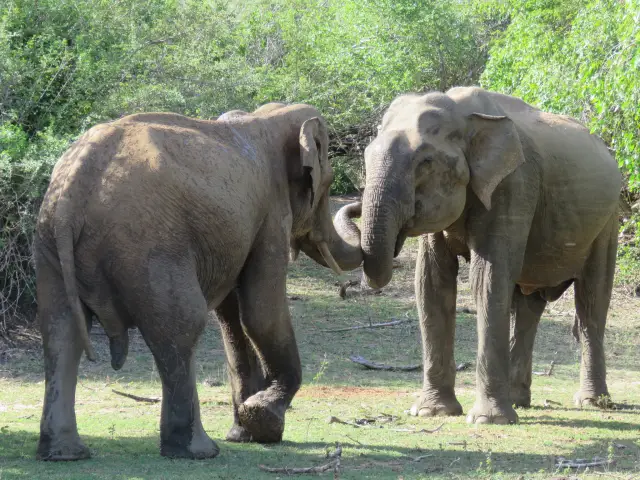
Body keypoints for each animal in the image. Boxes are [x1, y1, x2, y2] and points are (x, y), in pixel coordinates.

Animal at [34, 102, 362, 461]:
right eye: (328, 182)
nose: (356, 206)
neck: (268, 115)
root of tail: (72, 190)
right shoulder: (272, 214)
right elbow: (261, 313)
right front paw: (262, 419)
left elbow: (233, 317)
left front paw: (247, 433)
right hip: (149, 247)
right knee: (182, 325)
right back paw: (197, 450)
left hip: (50, 244)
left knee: (60, 332)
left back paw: (64, 453)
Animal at [336, 86, 622, 425]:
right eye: (367, 155)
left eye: (426, 162)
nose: (354, 204)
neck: (463, 114)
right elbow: (432, 282)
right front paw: (432, 411)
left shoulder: (513, 185)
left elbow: (487, 278)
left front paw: (487, 419)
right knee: (529, 305)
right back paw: (520, 401)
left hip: (608, 222)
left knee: (591, 301)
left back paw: (592, 403)